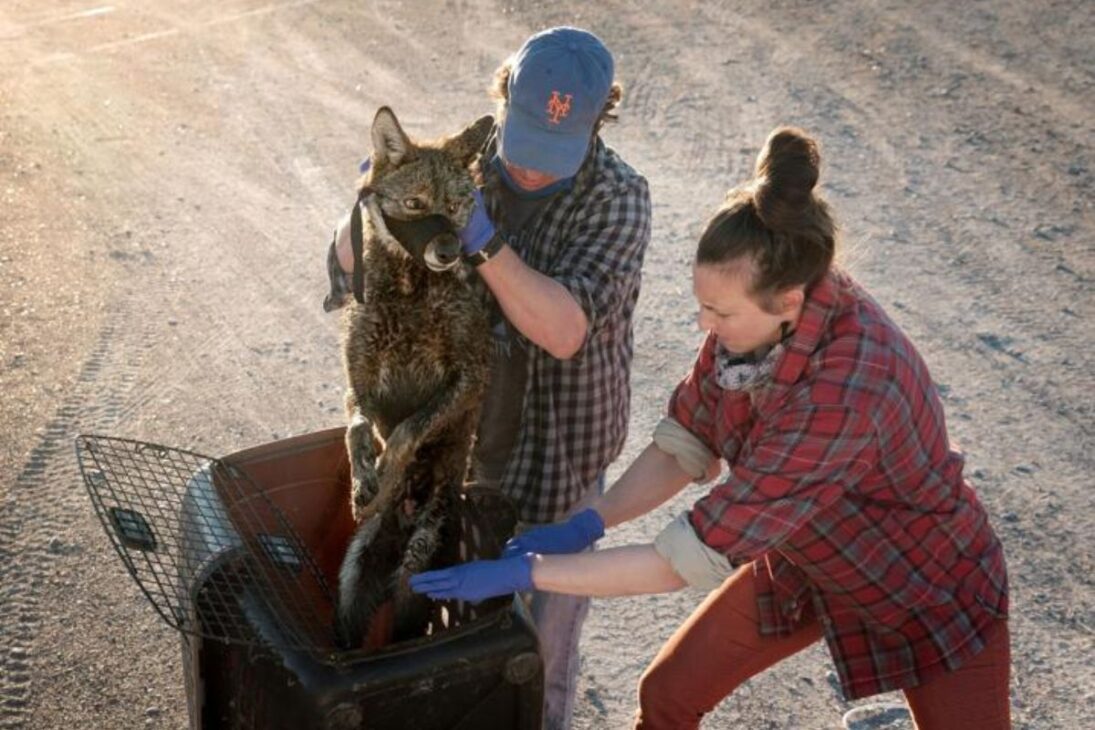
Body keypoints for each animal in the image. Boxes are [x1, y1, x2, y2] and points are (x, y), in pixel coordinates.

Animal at [329, 107, 493, 649]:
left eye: (458, 207)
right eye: (416, 204)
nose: (448, 252)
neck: (408, 293)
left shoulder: (468, 380)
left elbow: (406, 430)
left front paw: (386, 470)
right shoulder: (356, 384)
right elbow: (359, 429)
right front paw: (364, 479)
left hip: (413, 576)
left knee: (407, 622)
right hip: (352, 583)